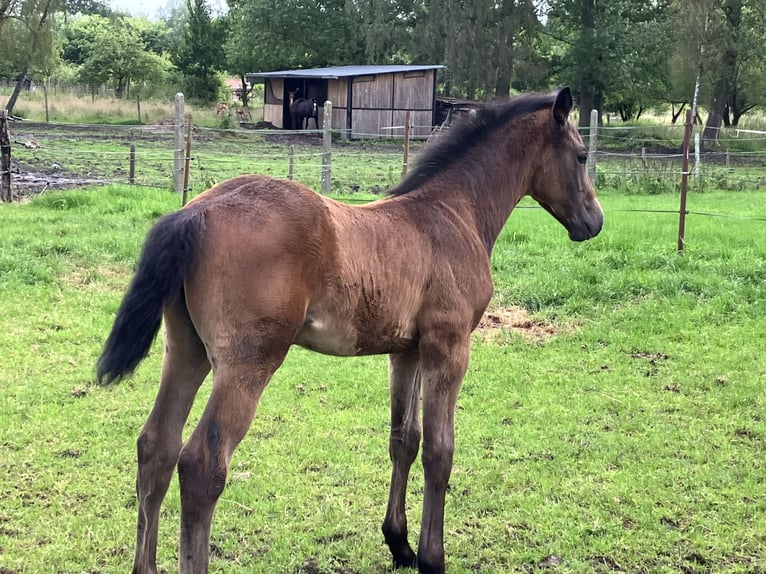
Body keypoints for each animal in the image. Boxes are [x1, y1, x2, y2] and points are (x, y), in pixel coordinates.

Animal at [97, 88, 600, 572]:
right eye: (581, 156)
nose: (595, 223)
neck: (455, 214)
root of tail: (195, 212)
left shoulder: (407, 351)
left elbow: (404, 440)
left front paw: (399, 544)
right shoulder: (450, 346)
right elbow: (440, 450)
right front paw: (432, 558)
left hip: (187, 351)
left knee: (155, 447)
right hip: (248, 362)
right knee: (202, 466)